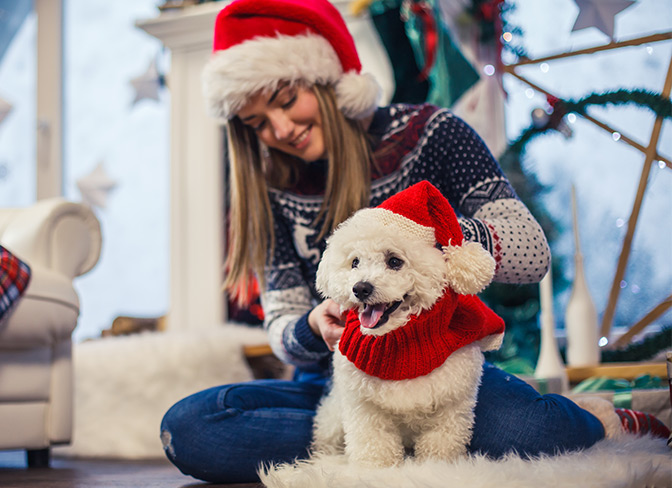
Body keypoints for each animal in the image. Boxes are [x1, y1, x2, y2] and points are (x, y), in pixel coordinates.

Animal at [310, 181, 504, 468]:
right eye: (354, 262)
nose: (360, 288)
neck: (402, 350)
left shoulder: (451, 408)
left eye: (394, 261)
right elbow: (373, 444)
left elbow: (441, 444)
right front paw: (374, 468)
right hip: (332, 419)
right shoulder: (363, 407)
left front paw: (436, 468)